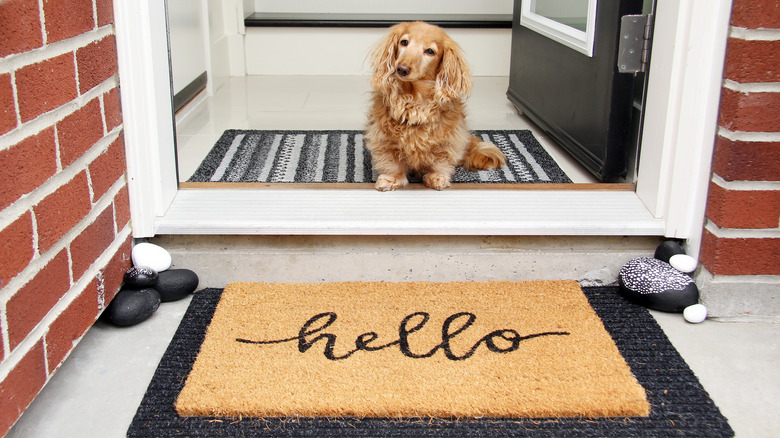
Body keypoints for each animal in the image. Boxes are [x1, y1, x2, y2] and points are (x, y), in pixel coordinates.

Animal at [364, 21, 506, 190]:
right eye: (404, 42)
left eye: (430, 51)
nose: (402, 69)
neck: (414, 99)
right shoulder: (384, 137)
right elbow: (392, 162)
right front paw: (391, 179)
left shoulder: (447, 138)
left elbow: (440, 160)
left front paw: (437, 177)